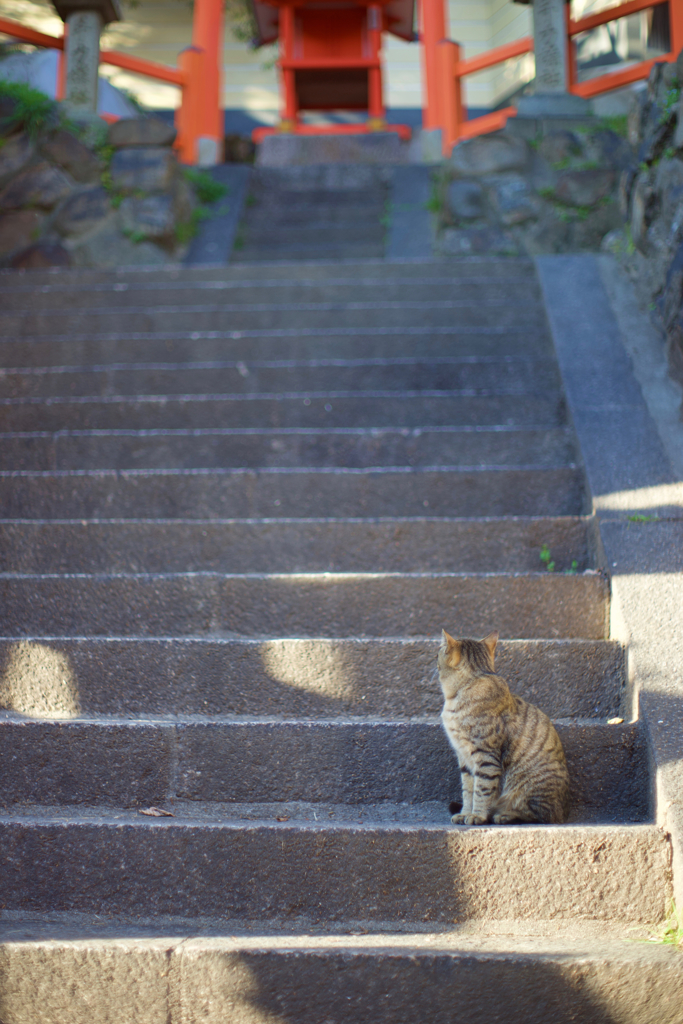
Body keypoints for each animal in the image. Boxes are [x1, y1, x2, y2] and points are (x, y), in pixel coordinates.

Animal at [438, 630, 573, 823]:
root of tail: (566, 811)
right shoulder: (463, 758)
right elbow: (468, 791)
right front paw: (465, 813)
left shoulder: (486, 757)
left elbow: (482, 790)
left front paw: (477, 816)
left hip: (530, 787)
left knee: (538, 815)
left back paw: (505, 815)